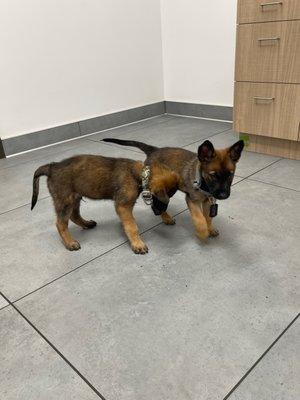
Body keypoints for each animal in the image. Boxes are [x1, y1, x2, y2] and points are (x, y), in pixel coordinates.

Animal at [31, 154, 178, 253]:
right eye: (164, 198)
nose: (158, 213)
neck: (140, 173)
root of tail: (52, 166)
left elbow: (128, 222)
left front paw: (166, 217)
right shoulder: (123, 206)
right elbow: (132, 226)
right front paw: (137, 243)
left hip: (75, 197)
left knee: (74, 215)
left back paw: (87, 224)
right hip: (65, 200)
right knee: (61, 223)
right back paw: (70, 243)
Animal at [102, 139, 244, 241]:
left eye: (230, 175)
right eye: (213, 175)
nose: (224, 195)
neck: (202, 182)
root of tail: (154, 150)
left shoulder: (208, 200)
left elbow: (208, 217)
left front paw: (210, 228)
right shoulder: (192, 200)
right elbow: (199, 218)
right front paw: (202, 233)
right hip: (161, 190)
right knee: (157, 204)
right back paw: (166, 218)